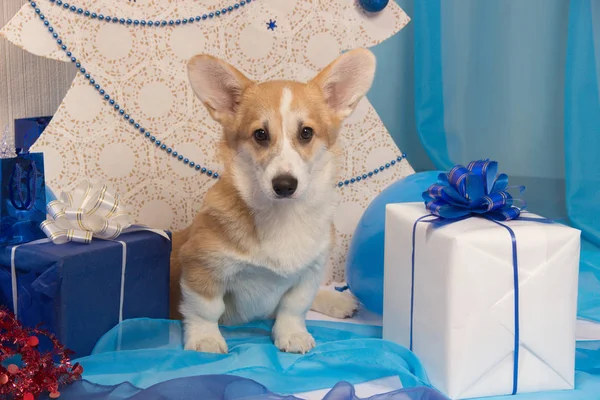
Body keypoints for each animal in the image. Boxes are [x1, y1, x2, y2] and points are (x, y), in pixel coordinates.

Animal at [169, 47, 376, 354]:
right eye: (260, 134)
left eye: (306, 132)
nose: (285, 185)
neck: (283, 215)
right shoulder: (201, 265)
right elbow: (205, 309)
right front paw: (205, 339)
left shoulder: (309, 272)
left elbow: (294, 307)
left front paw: (292, 334)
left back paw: (338, 301)